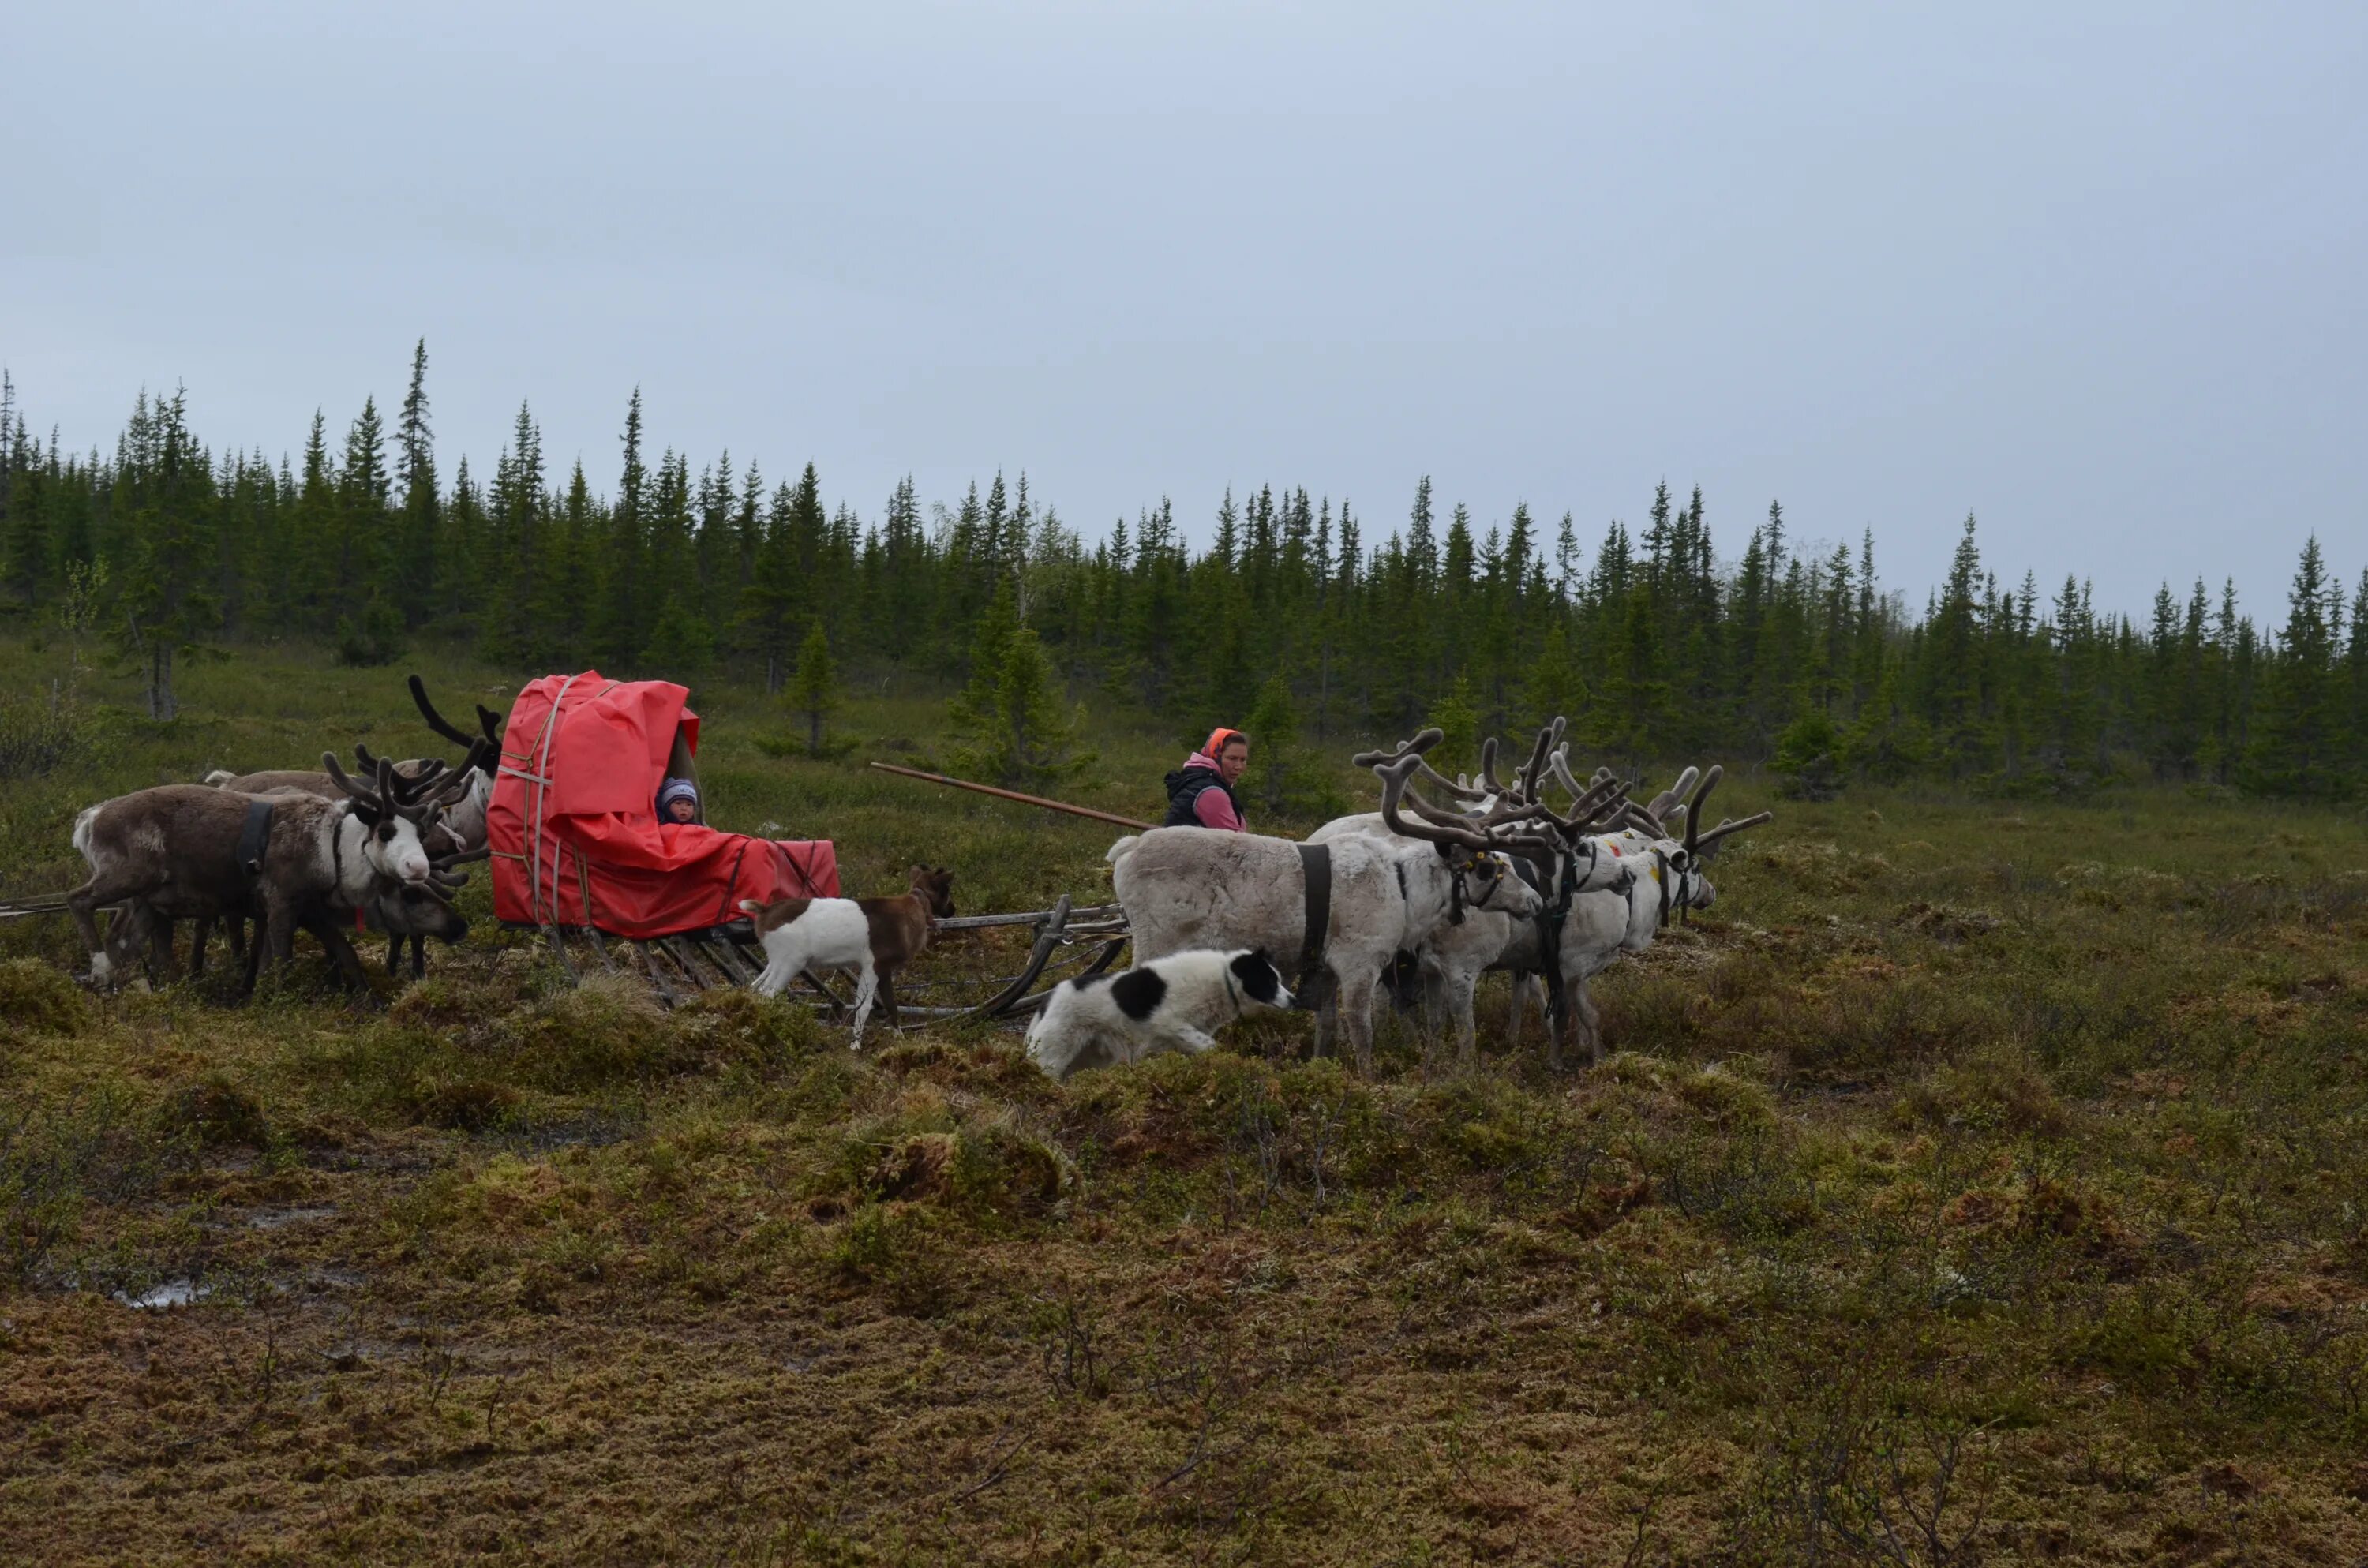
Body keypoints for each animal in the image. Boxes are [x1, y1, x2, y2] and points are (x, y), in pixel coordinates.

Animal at [1028, 952, 1298, 1089]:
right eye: (1270, 981)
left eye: (1278, 979)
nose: (1294, 1000)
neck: (1224, 979)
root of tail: (1049, 998)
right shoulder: (1169, 1023)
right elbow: (1209, 1045)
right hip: (1056, 1052)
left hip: (1089, 1055)